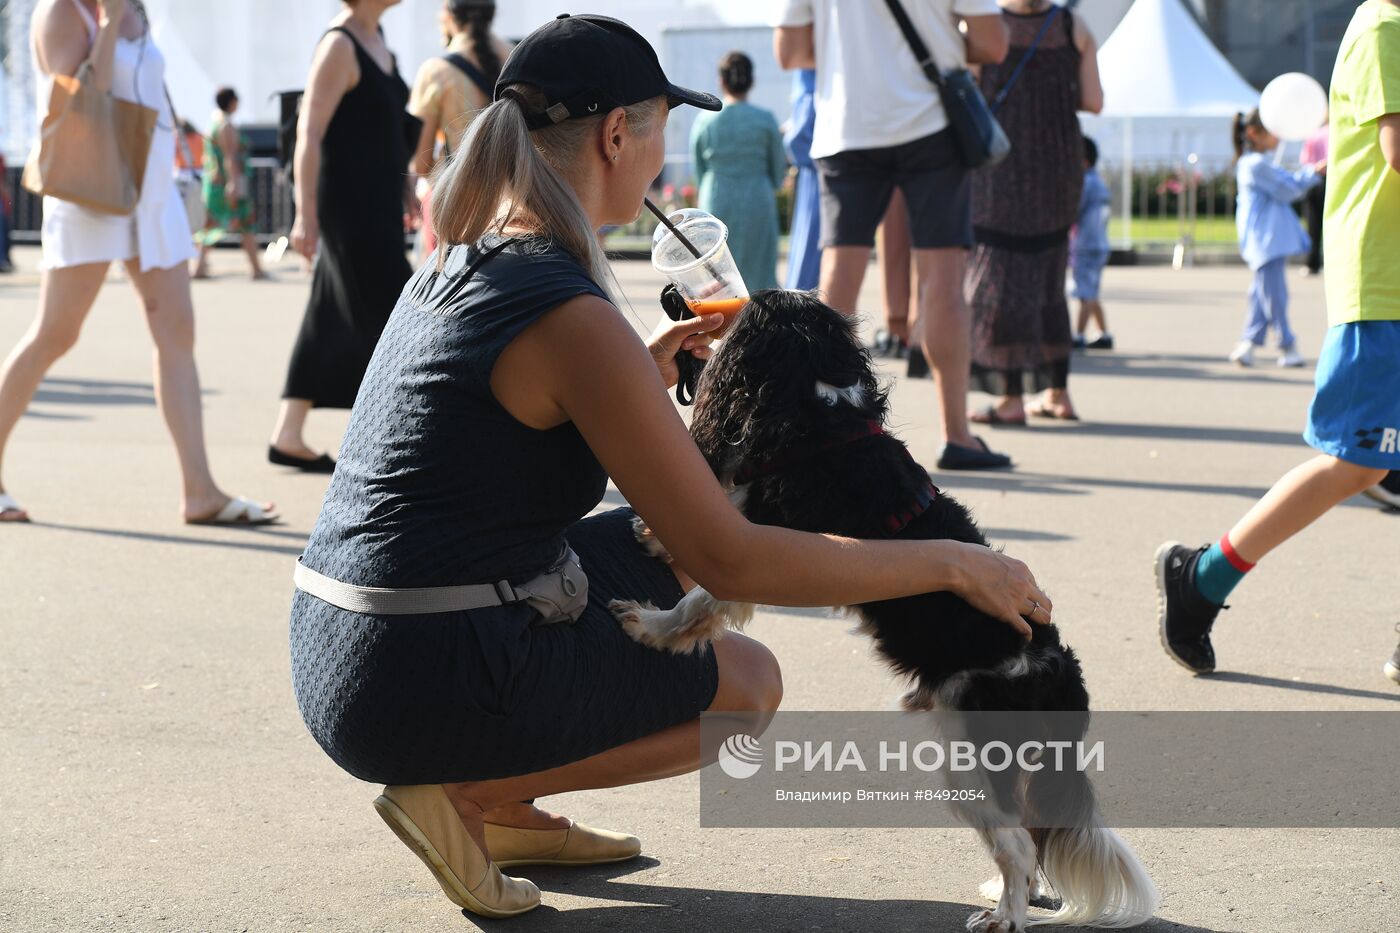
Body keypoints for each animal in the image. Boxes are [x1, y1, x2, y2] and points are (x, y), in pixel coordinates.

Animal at [613, 291, 1159, 930]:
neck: (821, 403)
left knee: (1019, 844)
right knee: (1024, 837)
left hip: (974, 757)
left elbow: (696, 601)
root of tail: (1061, 675)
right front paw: (652, 537)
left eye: (750, 309)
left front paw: (649, 627)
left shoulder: (757, 549)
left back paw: (1004, 916)